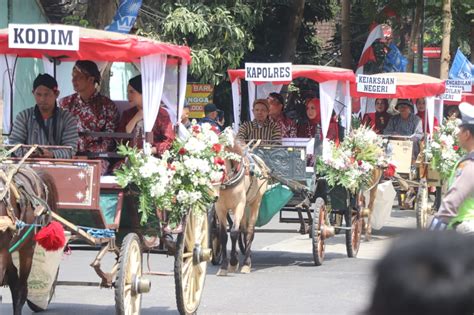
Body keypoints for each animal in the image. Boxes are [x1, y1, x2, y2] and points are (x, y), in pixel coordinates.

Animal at [214, 141, 266, 276]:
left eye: (220, 168)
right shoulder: (220, 208)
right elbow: (223, 235)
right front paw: (224, 266)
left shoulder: (239, 206)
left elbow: (233, 232)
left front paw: (233, 262)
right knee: (244, 229)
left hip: (255, 203)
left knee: (249, 232)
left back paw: (247, 263)